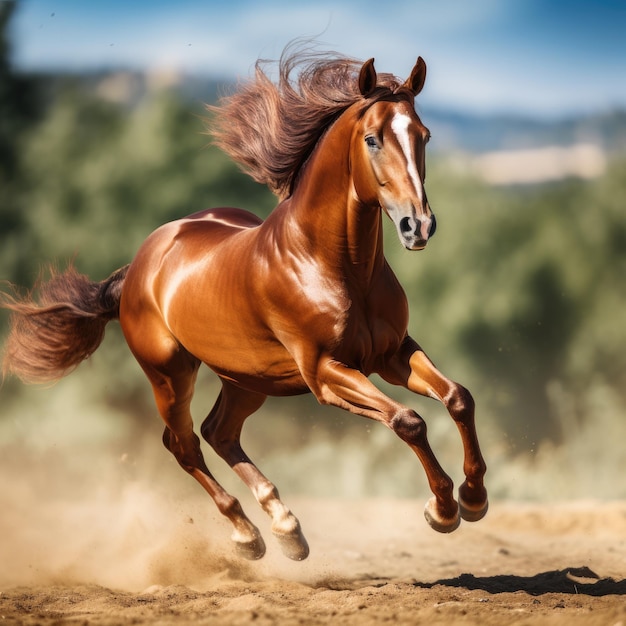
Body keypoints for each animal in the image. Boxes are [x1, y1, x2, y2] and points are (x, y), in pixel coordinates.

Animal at [1, 46, 488, 560]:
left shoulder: (391, 354)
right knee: (184, 444)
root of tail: (139, 266)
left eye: (424, 136)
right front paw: (444, 510)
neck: (333, 265)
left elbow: (458, 398)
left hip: (248, 379)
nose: (419, 226)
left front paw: (474, 499)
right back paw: (248, 534)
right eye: (373, 139)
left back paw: (286, 526)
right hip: (170, 375)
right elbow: (408, 420)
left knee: (219, 432)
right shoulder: (326, 373)